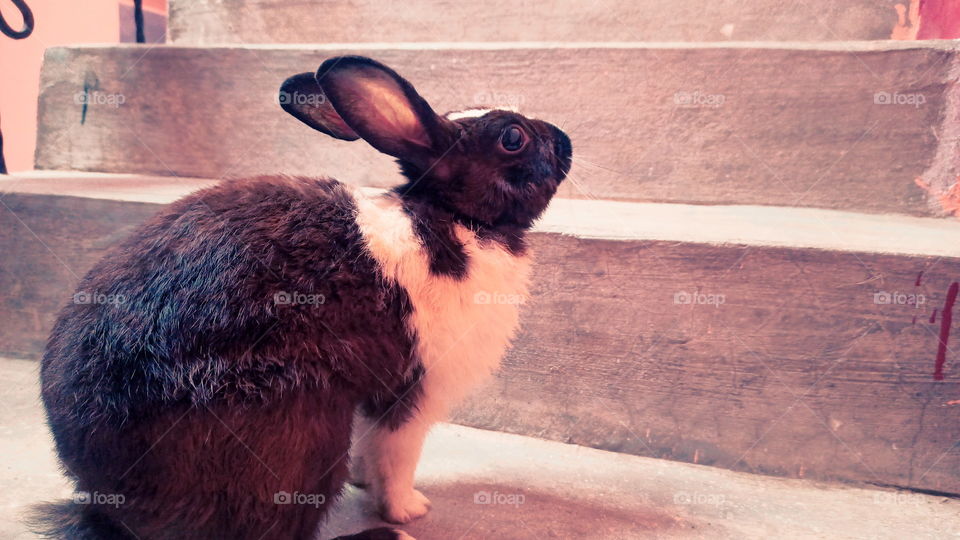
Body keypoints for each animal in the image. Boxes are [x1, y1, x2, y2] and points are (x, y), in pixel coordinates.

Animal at [33, 55, 572, 540]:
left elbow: (372, 449)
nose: (565, 139)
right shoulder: (414, 389)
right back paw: (386, 535)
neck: (455, 217)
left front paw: (364, 484)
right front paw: (407, 509)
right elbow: (397, 455)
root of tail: (110, 505)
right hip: (303, 428)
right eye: (512, 137)